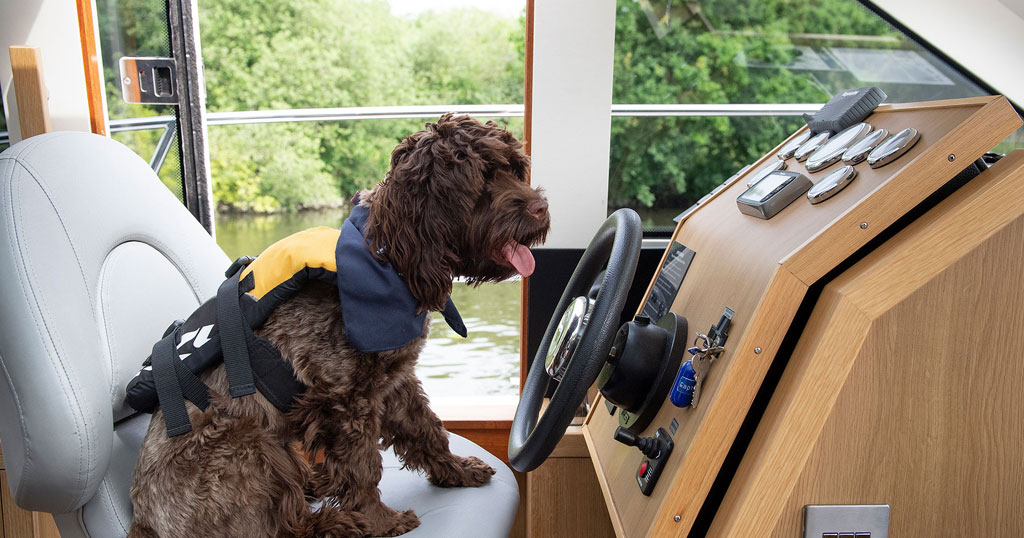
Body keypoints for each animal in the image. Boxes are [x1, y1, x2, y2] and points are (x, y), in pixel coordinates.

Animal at [128, 114, 552, 536]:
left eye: (515, 169)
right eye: (480, 179)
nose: (541, 207)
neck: (389, 258)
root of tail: (141, 522)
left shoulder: (395, 381)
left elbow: (427, 429)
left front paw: (456, 470)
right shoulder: (345, 399)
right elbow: (362, 467)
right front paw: (381, 520)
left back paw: (316, 483)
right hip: (250, 448)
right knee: (285, 525)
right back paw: (341, 521)